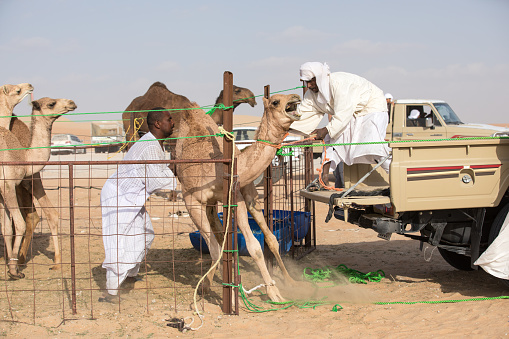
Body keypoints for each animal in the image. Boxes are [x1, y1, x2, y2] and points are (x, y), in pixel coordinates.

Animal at [0, 96, 76, 278]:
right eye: (51, 103)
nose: (72, 103)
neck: (22, 156)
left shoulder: (2, 191)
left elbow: (6, 227)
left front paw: (11, 265)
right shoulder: (7, 185)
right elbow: (18, 223)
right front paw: (14, 271)